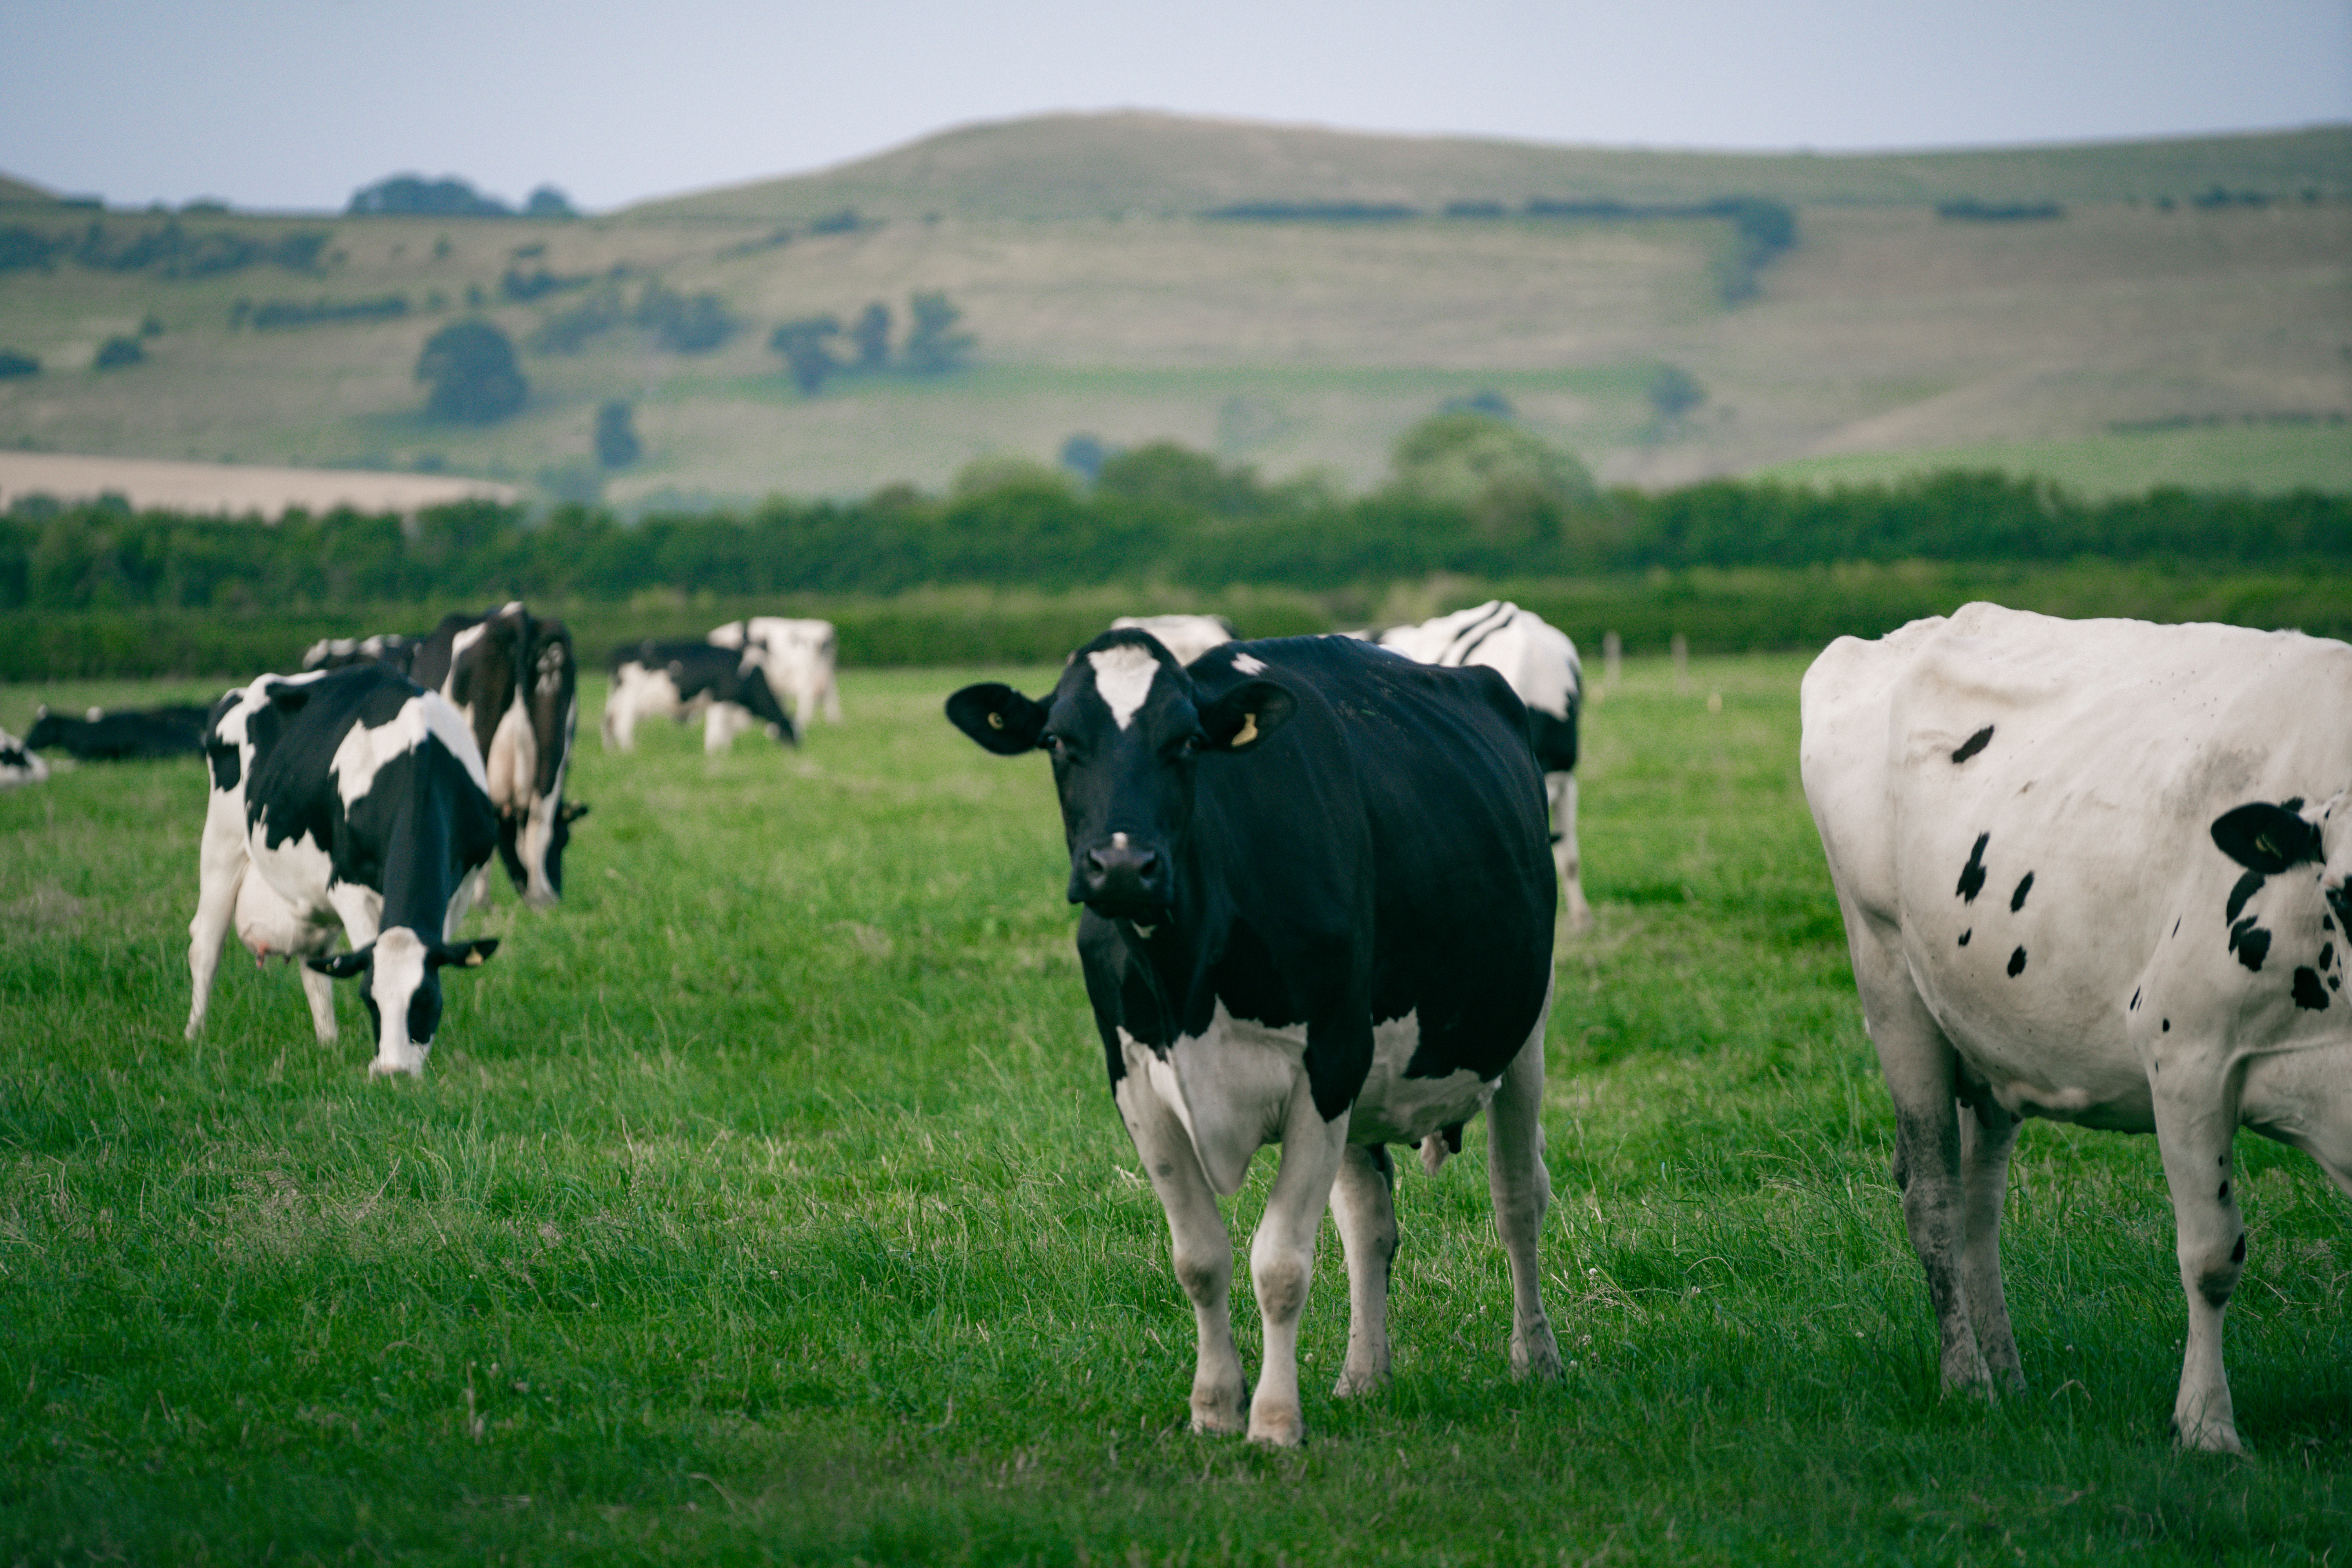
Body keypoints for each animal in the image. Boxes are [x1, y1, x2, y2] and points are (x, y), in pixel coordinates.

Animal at [185, 664, 501, 1076]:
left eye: (427, 1000)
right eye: (370, 1000)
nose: (393, 1072)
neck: (419, 760)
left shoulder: (459, 888)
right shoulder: (348, 886)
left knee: (314, 967)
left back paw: (328, 1043)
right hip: (222, 844)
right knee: (206, 945)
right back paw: (194, 1035)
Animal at [604, 640, 799, 754]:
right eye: (791, 730)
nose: (798, 749)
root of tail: (620, 651)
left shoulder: (728, 704)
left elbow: (726, 730)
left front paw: (725, 752)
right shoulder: (719, 700)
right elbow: (717, 731)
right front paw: (713, 754)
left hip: (617, 697)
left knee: (608, 722)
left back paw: (612, 753)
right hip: (630, 698)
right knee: (623, 725)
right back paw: (630, 752)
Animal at [947, 631, 1563, 1446]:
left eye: (1186, 742)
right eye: (1056, 741)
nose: (1122, 867)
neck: (1188, 980)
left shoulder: (1327, 1065)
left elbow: (1280, 1264)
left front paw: (1273, 1422)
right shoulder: (1135, 1080)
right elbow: (1200, 1258)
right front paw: (1214, 1406)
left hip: (1522, 1031)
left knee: (1517, 1200)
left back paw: (1536, 1358)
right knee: (1369, 1224)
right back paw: (1364, 1376)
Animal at [1800, 602, 2352, 1452]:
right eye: (2348, 893)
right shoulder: (2185, 1051)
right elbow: (2211, 1254)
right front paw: (2207, 1427)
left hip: (1989, 1033)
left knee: (1980, 1205)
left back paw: (2010, 1377)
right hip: (1890, 980)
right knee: (1933, 1196)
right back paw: (1968, 1385)